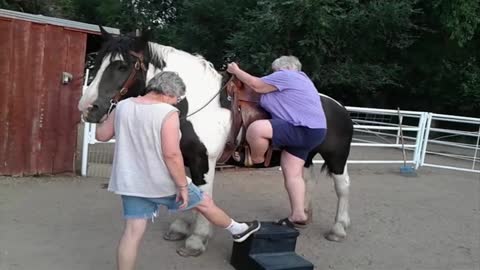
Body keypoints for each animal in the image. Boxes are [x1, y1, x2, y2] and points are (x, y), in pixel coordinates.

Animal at [79, 28, 354, 258]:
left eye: (122, 66)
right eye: (98, 62)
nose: (88, 108)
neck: (196, 105)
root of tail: (339, 107)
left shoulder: (204, 160)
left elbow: (203, 195)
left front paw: (196, 240)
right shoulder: (186, 158)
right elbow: (189, 192)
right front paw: (180, 228)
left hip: (337, 158)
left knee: (342, 187)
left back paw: (338, 229)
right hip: (303, 156)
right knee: (307, 181)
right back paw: (302, 217)